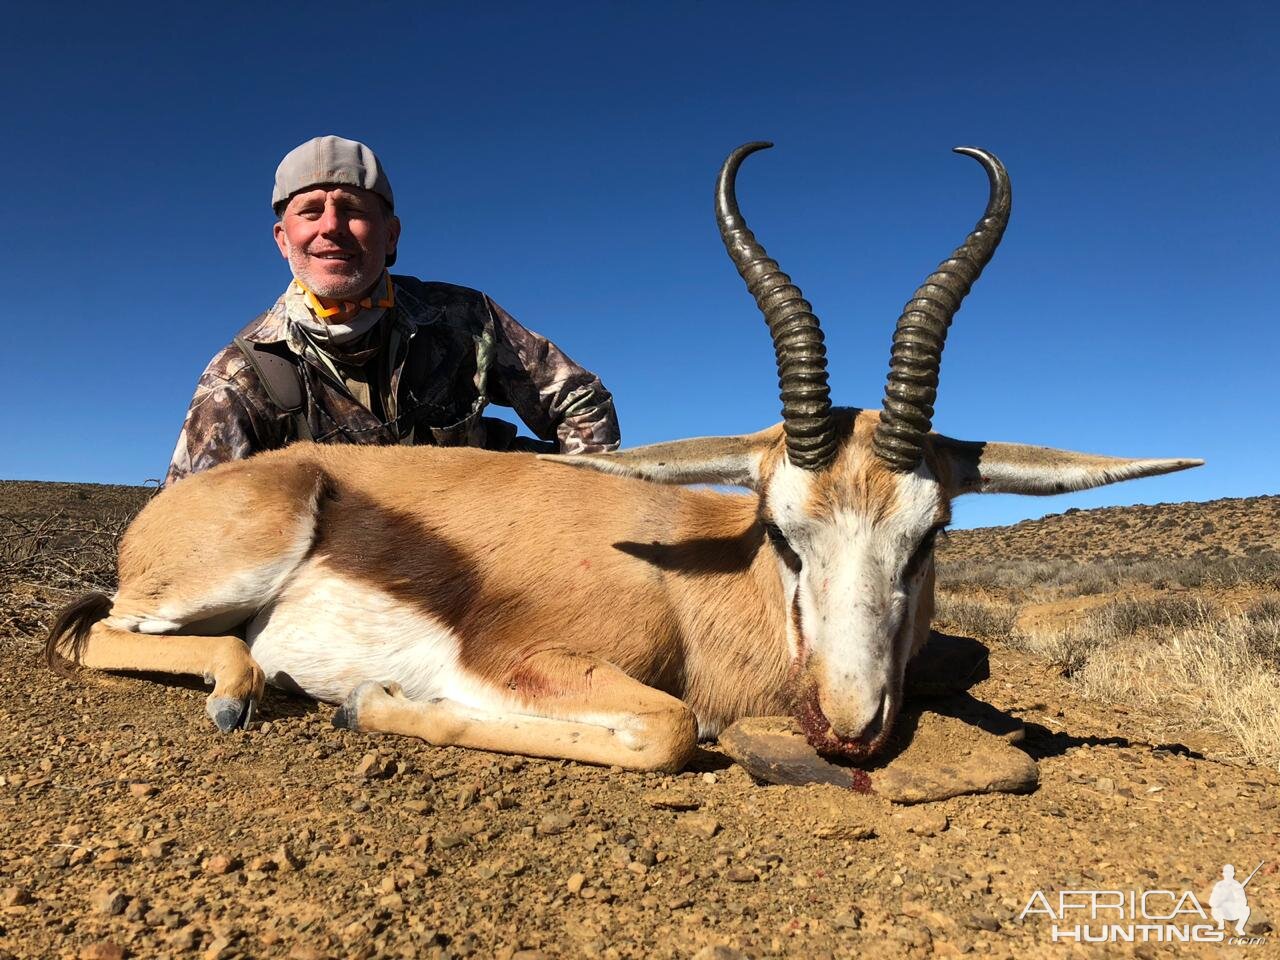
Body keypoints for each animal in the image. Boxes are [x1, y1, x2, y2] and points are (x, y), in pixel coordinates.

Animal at [42, 142, 1198, 773]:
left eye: (929, 536)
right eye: (783, 531)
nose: (850, 725)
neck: (692, 587)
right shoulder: (523, 661)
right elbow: (674, 729)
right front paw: (375, 701)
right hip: (222, 573)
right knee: (106, 633)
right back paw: (244, 687)